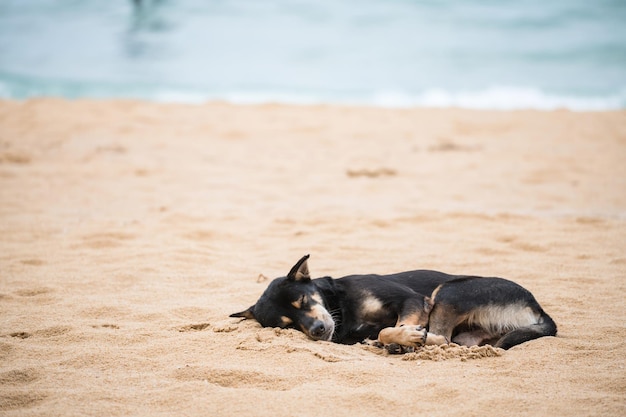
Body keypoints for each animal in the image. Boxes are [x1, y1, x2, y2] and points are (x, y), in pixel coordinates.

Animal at [230, 255, 556, 350]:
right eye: (287, 326)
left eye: (301, 300)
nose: (318, 331)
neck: (341, 304)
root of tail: (539, 310)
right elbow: (384, 331)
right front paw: (399, 339)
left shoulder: (412, 300)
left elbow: (392, 327)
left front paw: (404, 337)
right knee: (449, 341)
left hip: (449, 292)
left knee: (441, 338)